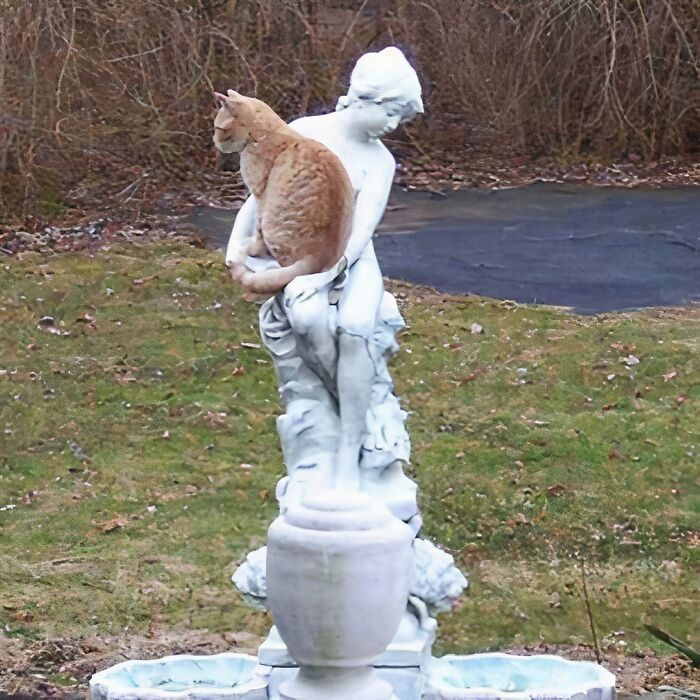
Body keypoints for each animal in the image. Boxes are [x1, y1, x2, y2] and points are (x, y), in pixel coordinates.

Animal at [211, 89, 352, 292]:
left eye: (218, 129)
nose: (214, 142)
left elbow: (257, 231)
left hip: (272, 222)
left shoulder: (260, 195)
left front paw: (253, 250)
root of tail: (319, 257)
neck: (263, 132)